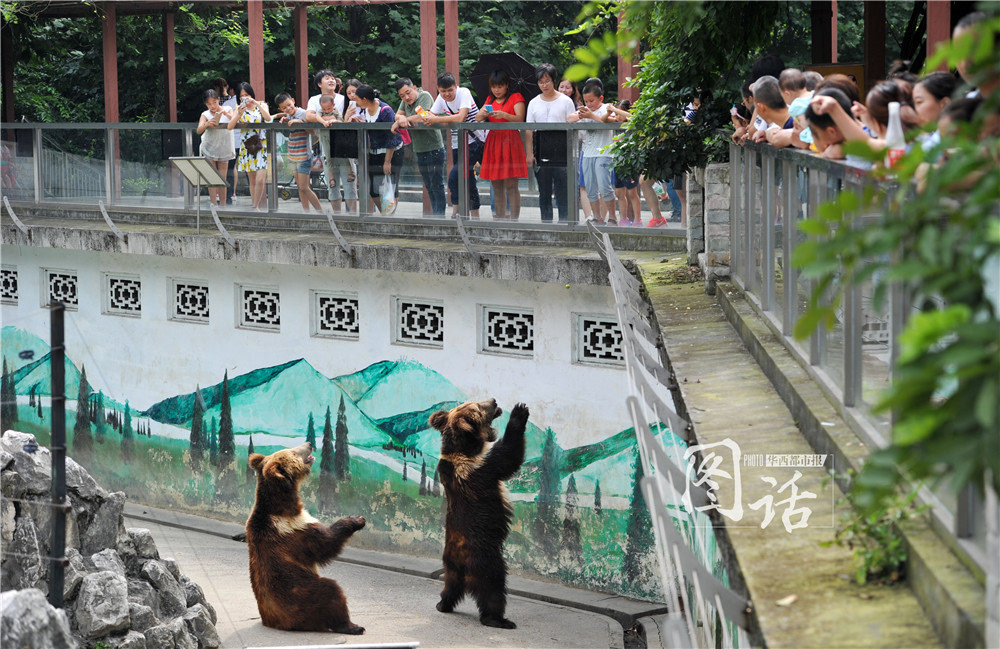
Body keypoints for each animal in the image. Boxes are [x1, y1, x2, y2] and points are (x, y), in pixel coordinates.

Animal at [247, 440, 368, 632]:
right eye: (293, 453)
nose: (309, 443)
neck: (283, 507)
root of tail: (281, 623)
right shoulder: (295, 529)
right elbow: (325, 544)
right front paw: (356, 519)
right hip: (304, 595)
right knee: (332, 592)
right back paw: (351, 626)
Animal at [426, 398, 528, 624]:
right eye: (478, 407)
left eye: (475, 402)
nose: (494, 400)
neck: (465, 448)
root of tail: (461, 562)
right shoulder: (482, 464)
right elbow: (509, 456)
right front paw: (520, 412)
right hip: (485, 559)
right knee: (493, 587)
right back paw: (498, 619)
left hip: (450, 567)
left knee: (450, 586)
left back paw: (442, 605)